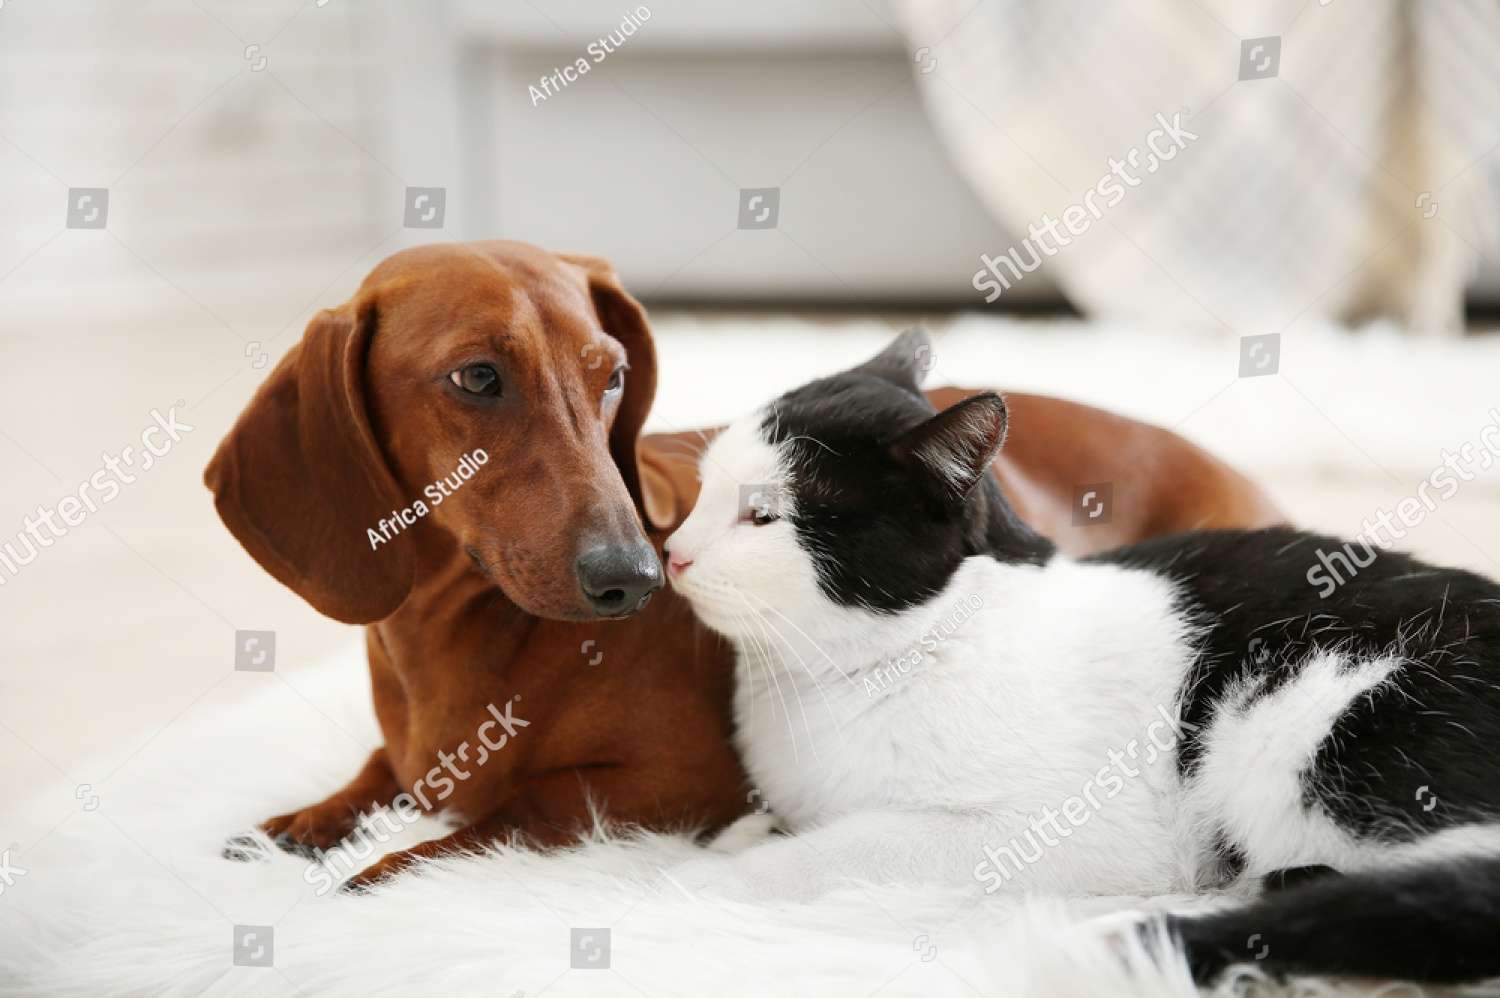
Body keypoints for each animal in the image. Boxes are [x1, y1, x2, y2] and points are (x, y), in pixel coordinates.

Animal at [202, 241, 1278, 888]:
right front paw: (314, 818)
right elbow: (382, 769)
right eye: (476, 376)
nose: (636, 576)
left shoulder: (677, 786)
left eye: (612, 374)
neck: (458, 630)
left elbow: (516, 802)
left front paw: (382, 868)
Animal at [666, 330, 1500, 984]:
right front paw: (742, 834)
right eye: (702, 492)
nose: (672, 552)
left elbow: (844, 846)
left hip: (1313, 720)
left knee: (1439, 896)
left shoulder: (1062, 829)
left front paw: (703, 871)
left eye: (761, 516)